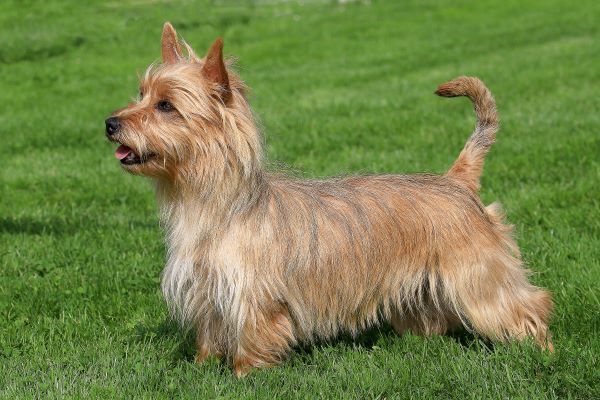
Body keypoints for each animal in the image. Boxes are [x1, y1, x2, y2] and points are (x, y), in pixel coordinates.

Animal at [104, 21, 552, 376]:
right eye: (140, 94)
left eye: (166, 106)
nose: (110, 123)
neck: (215, 205)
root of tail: (457, 180)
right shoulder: (209, 293)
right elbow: (210, 337)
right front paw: (201, 368)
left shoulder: (252, 296)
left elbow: (251, 340)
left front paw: (242, 376)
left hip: (478, 276)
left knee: (528, 306)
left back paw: (542, 351)